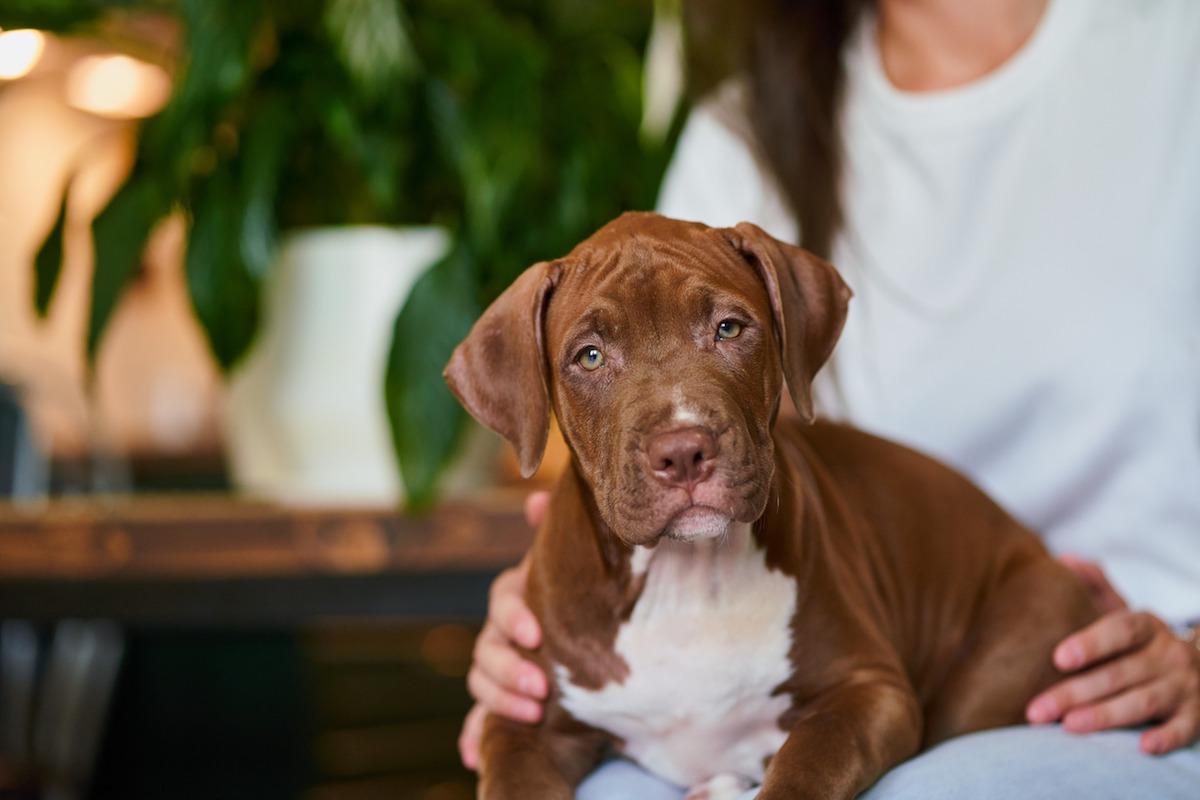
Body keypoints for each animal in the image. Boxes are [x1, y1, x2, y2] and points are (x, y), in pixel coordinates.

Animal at [446, 214, 1099, 800]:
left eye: (729, 328)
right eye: (589, 357)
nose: (683, 451)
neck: (685, 578)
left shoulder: (869, 690)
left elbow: (804, 767)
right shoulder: (524, 722)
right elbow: (514, 785)